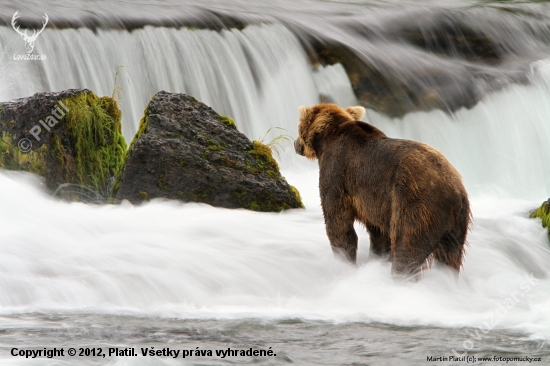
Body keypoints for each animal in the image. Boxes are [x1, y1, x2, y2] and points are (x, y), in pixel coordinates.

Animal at [296, 104, 472, 278]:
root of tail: (455, 191)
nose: (296, 144)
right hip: (458, 224)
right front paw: (376, 258)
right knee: (450, 257)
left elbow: (338, 223)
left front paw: (343, 261)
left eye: (298, 127)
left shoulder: (337, 173)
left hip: (417, 204)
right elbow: (378, 233)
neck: (327, 139)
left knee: (407, 246)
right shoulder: (374, 201)